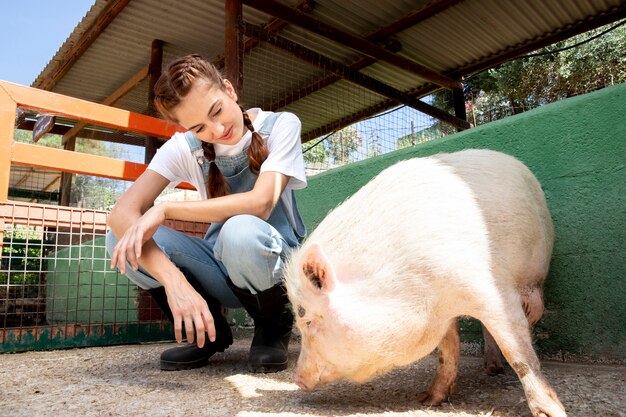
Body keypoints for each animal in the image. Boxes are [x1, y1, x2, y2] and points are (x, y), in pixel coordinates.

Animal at [284, 150, 564, 416]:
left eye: (308, 320)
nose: (297, 378)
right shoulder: (441, 309)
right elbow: (448, 350)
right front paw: (429, 400)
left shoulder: (488, 288)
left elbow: (517, 350)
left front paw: (552, 413)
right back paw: (491, 369)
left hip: (535, 276)